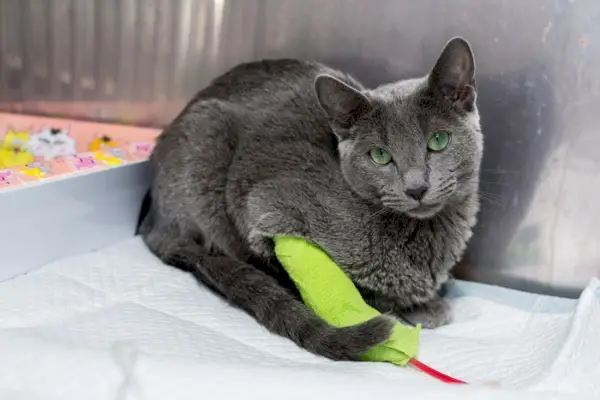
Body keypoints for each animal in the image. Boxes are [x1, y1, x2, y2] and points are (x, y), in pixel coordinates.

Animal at [141, 37, 482, 360]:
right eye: (380, 156)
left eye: (438, 140)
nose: (416, 188)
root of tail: (153, 216)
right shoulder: (262, 204)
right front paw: (415, 306)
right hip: (208, 144)